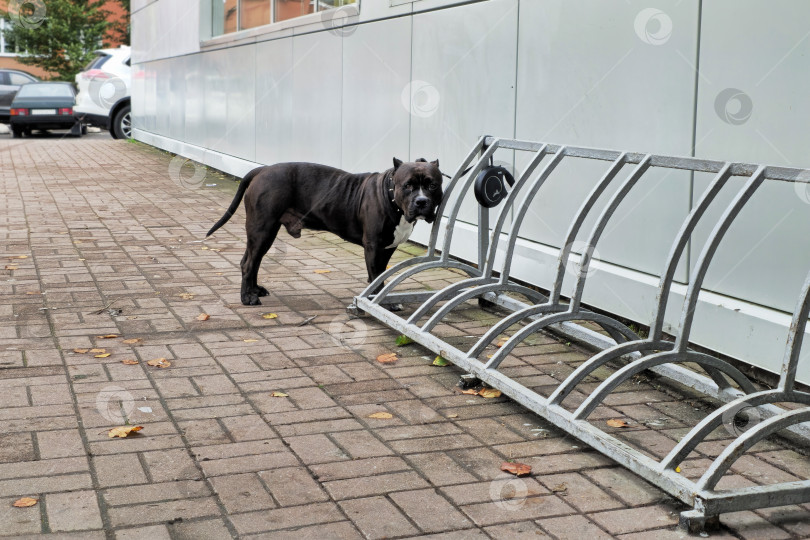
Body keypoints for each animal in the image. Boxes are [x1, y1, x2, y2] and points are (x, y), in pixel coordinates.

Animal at [204, 158, 442, 306]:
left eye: (432, 185)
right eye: (408, 185)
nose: (421, 202)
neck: (391, 196)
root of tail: (263, 169)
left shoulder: (387, 248)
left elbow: (380, 276)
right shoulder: (374, 246)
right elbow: (376, 277)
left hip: (265, 233)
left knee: (253, 261)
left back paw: (254, 290)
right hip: (262, 229)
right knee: (249, 263)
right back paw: (247, 298)